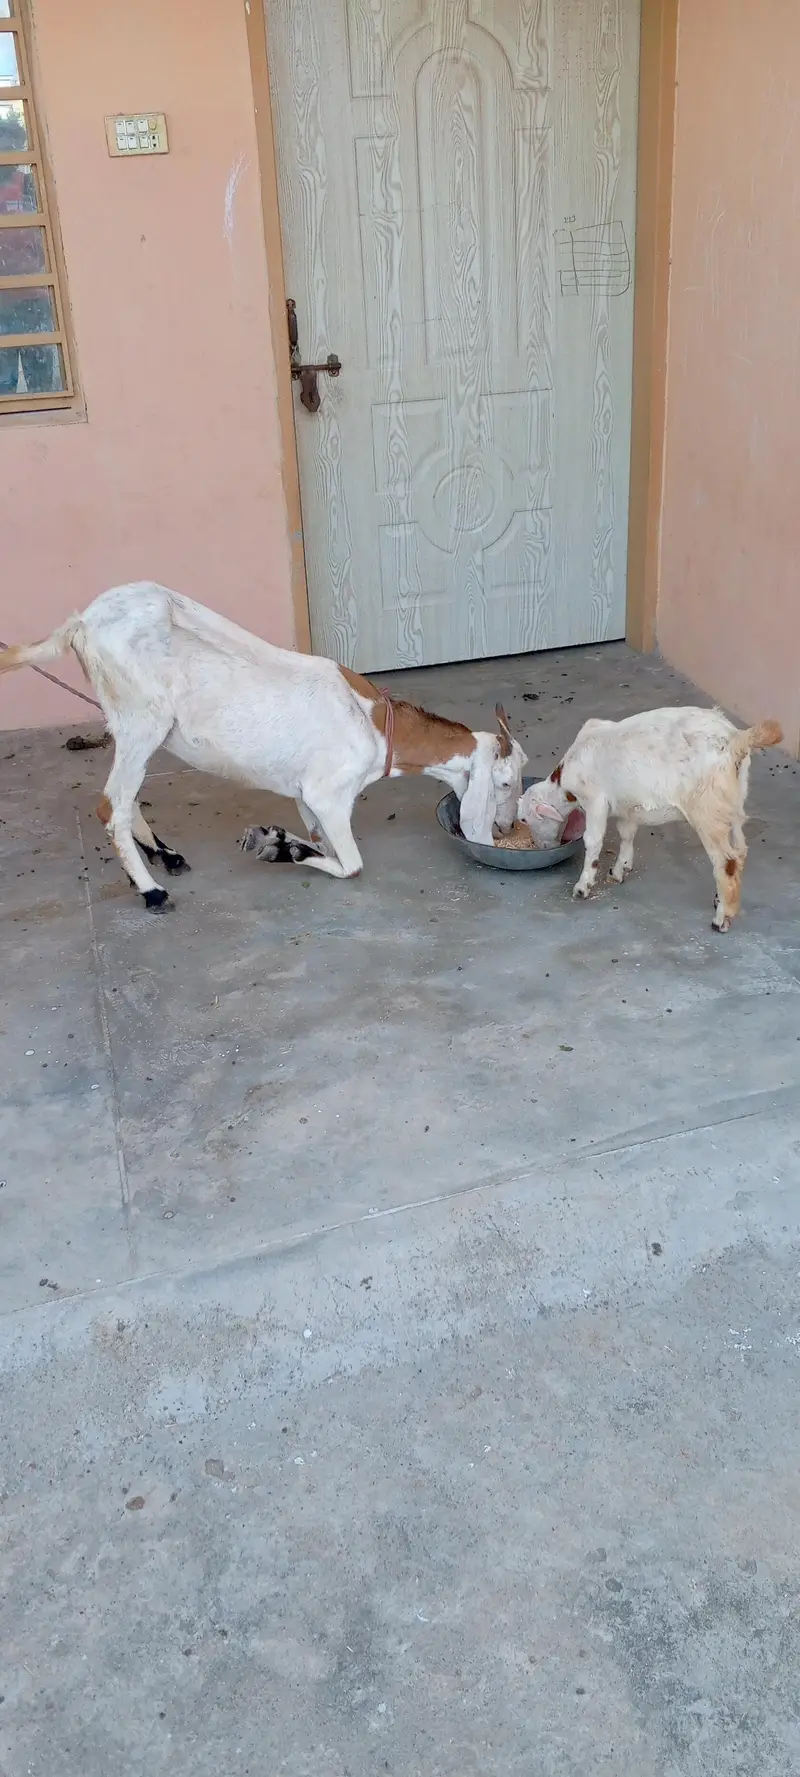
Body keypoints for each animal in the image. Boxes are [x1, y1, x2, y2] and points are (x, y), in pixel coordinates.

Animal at [0, 582, 526, 911]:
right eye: (504, 783)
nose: (506, 828)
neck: (377, 725)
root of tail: (81, 624)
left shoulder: (305, 797)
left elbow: (316, 840)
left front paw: (279, 843)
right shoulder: (327, 793)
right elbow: (352, 866)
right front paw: (283, 851)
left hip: (131, 723)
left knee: (126, 799)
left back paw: (164, 858)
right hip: (143, 719)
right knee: (111, 805)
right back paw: (152, 892)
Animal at [518, 705, 783, 931]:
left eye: (524, 820)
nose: (539, 846)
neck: (565, 782)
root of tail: (736, 738)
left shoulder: (595, 800)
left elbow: (593, 841)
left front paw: (584, 886)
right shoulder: (626, 806)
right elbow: (626, 834)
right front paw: (619, 869)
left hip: (707, 810)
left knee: (726, 861)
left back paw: (721, 919)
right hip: (732, 804)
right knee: (740, 851)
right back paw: (721, 900)